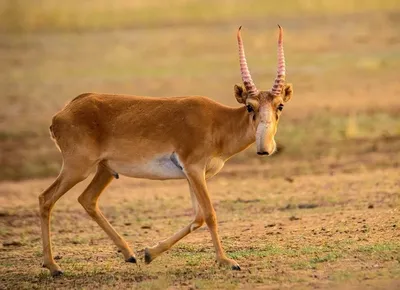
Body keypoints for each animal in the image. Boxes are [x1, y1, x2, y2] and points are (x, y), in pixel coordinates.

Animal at [38, 25, 294, 276]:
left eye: (279, 105)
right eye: (250, 106)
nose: (265, 149)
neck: (219, 121)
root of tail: (63, 112)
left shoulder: (195, 175)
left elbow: (198, 217)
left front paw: (149, 253)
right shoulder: (194, 170)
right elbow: (210, 214)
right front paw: (227, 261)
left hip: (105, 170)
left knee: (87, 199)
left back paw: (130, 255)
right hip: (78, 168)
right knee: (46, 199)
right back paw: (54, 267)